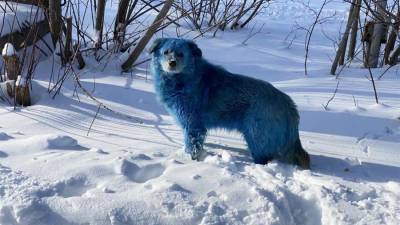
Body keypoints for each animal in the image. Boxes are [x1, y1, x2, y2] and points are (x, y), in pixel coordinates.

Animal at [149, 38, 310, 169]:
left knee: (263, 159)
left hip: (255, 136)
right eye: (166, 52)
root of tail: (288, 104)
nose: (172, 63)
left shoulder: (193, 125)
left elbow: (192, 145)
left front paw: (189, 161)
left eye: (181, 54)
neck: (183, 79)